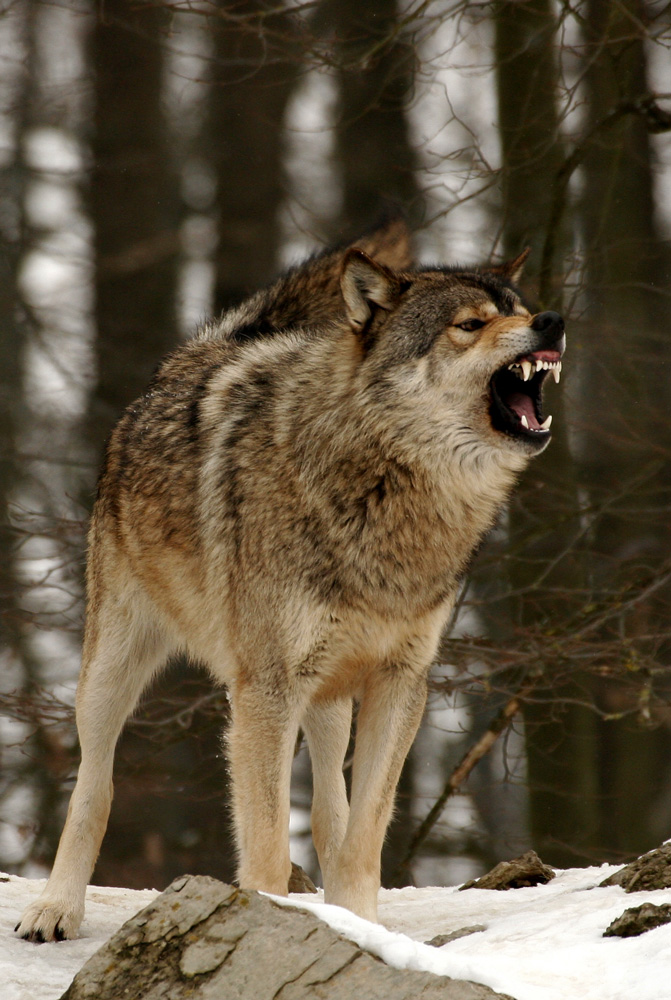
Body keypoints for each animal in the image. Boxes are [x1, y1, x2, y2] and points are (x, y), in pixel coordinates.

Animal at [15, 217, 564, 936]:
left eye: (521, 309)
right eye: (469, 325)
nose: (553, 321)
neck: (384, 490)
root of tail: (199, 350)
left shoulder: (400, 682)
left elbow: (363, 835)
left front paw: (357, 926)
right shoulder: (263, 691)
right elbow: (269, 844)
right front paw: (267, 918)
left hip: (328, 698)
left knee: (330, 811)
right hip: (113, 670)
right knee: (94, 784)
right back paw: (55, 907)